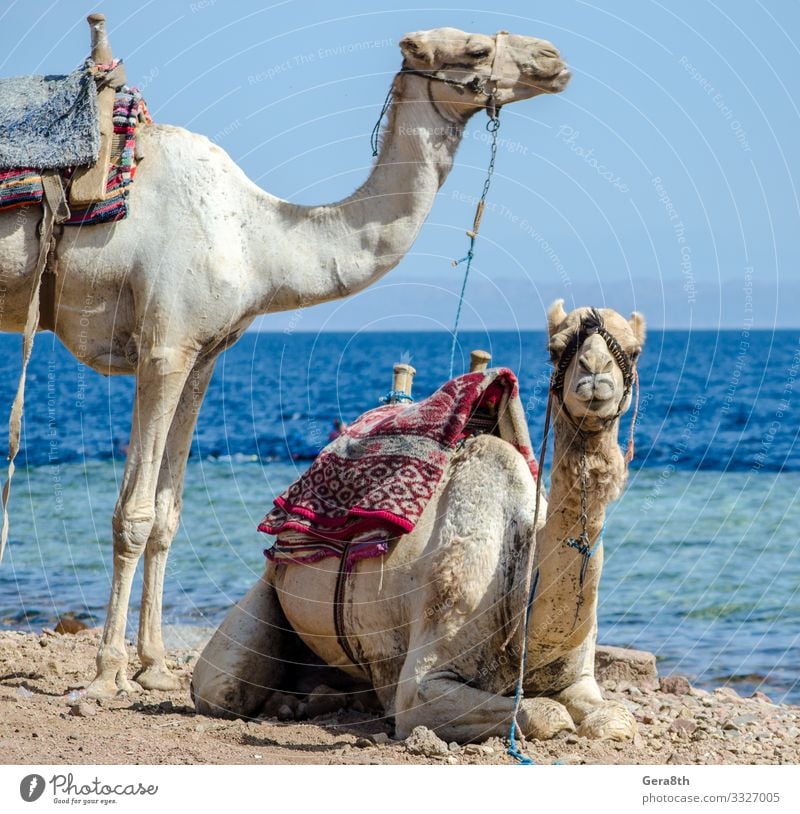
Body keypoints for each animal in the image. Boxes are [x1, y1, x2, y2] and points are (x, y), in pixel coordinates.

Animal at [0, 28, 568, 700]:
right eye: (475, 50)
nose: (554, 61)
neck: (259, 241)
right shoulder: (165, 343)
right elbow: (133, 515)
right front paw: (109, 670)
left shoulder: (202, 353)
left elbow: (166, 515)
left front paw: (156, 664)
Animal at [192, 302, 644, 744]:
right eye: (556, 348)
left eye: (635, 350)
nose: (594, 372)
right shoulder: (424, 684)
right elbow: (544, 713)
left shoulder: (579, 678)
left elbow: (616, 718)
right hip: (267, 590)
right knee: (221, 686)